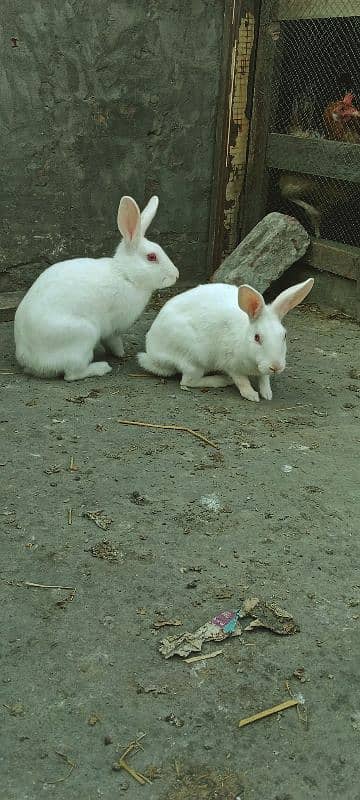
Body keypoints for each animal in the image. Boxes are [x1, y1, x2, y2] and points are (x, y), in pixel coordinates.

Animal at [14, 195, 179, 380]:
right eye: (151, 257)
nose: (176, 275)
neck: (125, 275)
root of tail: (31, 361)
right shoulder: (113, 328)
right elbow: (114, 341)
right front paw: (121, 353)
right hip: (84, 336)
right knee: (72, 374)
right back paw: (101, 368)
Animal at [136, 276, 314, 400]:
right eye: (257, 337)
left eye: (284, 335)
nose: (276, 367)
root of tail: (152, 354)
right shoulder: (231, 365)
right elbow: (242, 380)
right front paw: (251, 395)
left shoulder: (262, 369)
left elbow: (265, 378)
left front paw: (267, 394)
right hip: (194, 359)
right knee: (187, 382)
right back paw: (221, 380)